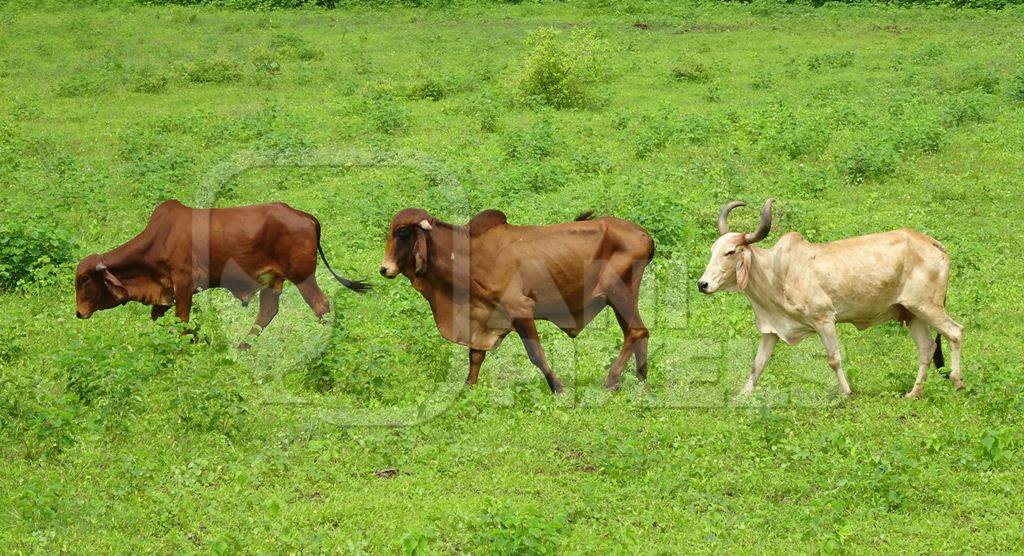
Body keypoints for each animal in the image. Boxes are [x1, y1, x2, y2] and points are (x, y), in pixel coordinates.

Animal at [76, 200, 372, 348]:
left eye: (84, 279)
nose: (79, 313)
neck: (159, 240)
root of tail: (303, 215)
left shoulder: (184, 285)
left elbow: (182, 321)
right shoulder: (165, 293)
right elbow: (159, 320)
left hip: (303, 277)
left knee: (320, 305)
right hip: (272, 280)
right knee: (267, 313)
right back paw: (242, 347)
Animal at [378, 207, 655, 391]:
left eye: (403, 232)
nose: (384, 269)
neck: (468, 255)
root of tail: (644, 235)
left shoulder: (520, 309)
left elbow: (536, 354)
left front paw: (558, 388)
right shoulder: (482, 315)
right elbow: (475, 356)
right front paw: (469, 387)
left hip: (616, 291)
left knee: (636, 332)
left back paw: (612, 381)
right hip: (623, 296)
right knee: (639, 332)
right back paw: (641, 381)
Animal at [696, 200, 958, 401]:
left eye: (730, 252)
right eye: (712, 250)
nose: (702, 284)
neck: (776, 272)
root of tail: (933, 244)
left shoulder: (824, 319)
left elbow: (834, 359)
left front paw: (846, 393)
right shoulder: (771, 330)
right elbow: (757, 364)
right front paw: (742, 395)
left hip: (927, 306)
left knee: (955, 332)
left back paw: (957, 382)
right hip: (912, 313)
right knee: (926, 348)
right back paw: (914, 393)